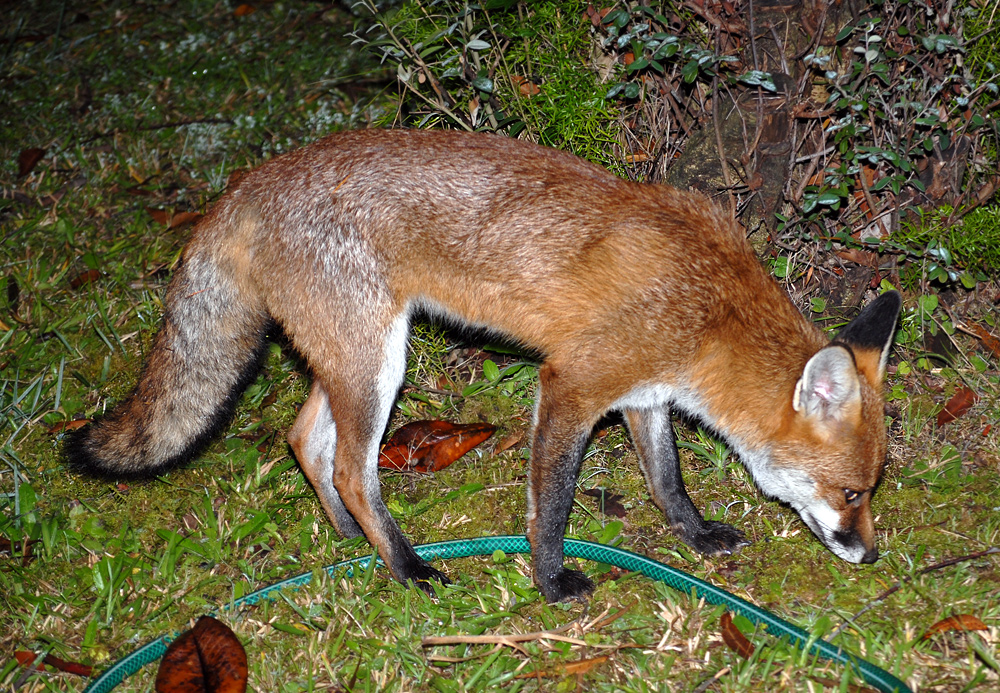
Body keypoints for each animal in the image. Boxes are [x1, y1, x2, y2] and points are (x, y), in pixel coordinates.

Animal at [66, 128, 904, 600]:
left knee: (305, 440)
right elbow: (552, 505)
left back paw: (351, 542)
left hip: (353, 358)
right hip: (378, 364)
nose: (868, 552)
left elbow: (668, 480)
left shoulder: (646, 393)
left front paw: (695, 538)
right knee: (349, 468)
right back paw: (408, 568)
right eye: (852, 491)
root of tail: (248, 181)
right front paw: (552, 581)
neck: (712, 311)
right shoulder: (572, 384)